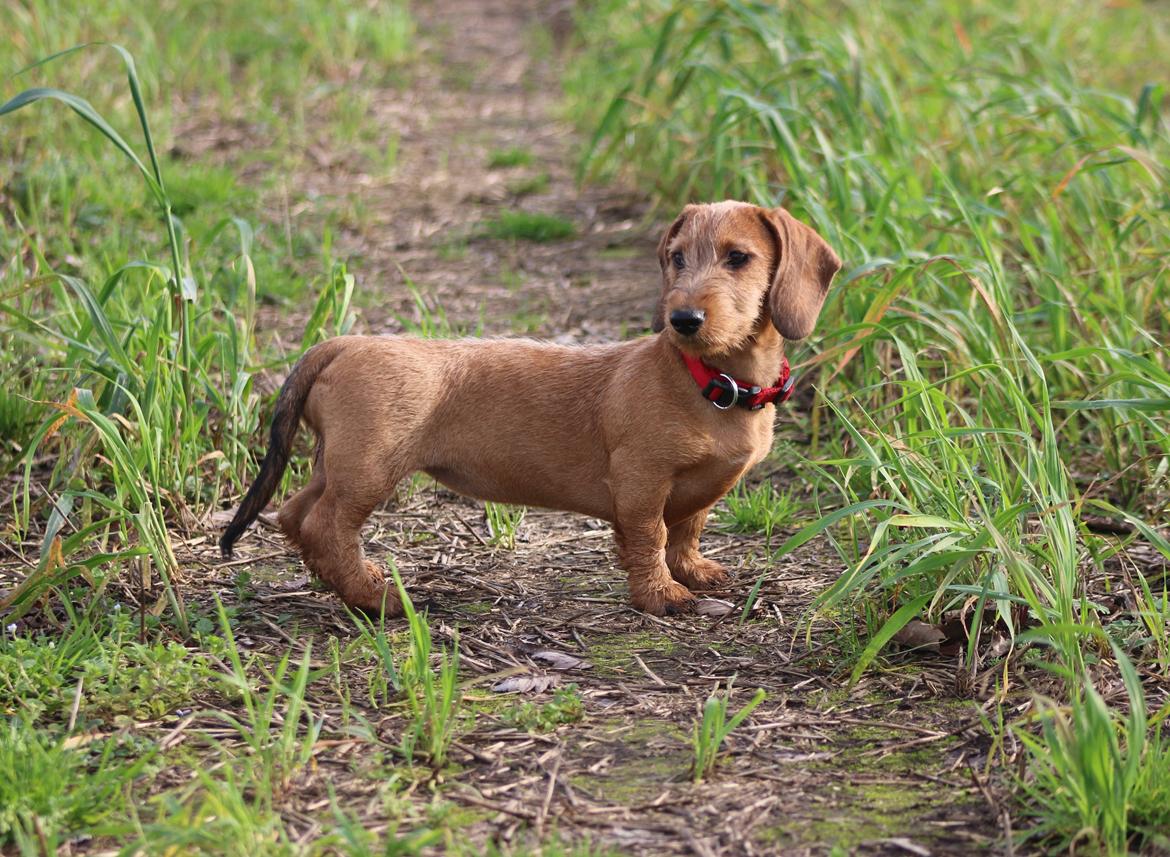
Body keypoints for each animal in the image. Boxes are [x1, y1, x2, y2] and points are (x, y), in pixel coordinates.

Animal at [221, 201, 842, 618]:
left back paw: (345, 587)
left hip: (336, 464)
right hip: (369, 470)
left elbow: (687, 529)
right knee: (326, 526)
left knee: (295, 514)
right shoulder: (641, 479)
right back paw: (379, 597)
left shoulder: (701, 489)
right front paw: (661, 594)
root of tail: (342, 342)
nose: (682, 319)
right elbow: (650, 538)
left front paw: (693, 572)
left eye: (739, 257)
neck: (711, 382)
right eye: (677, 258)